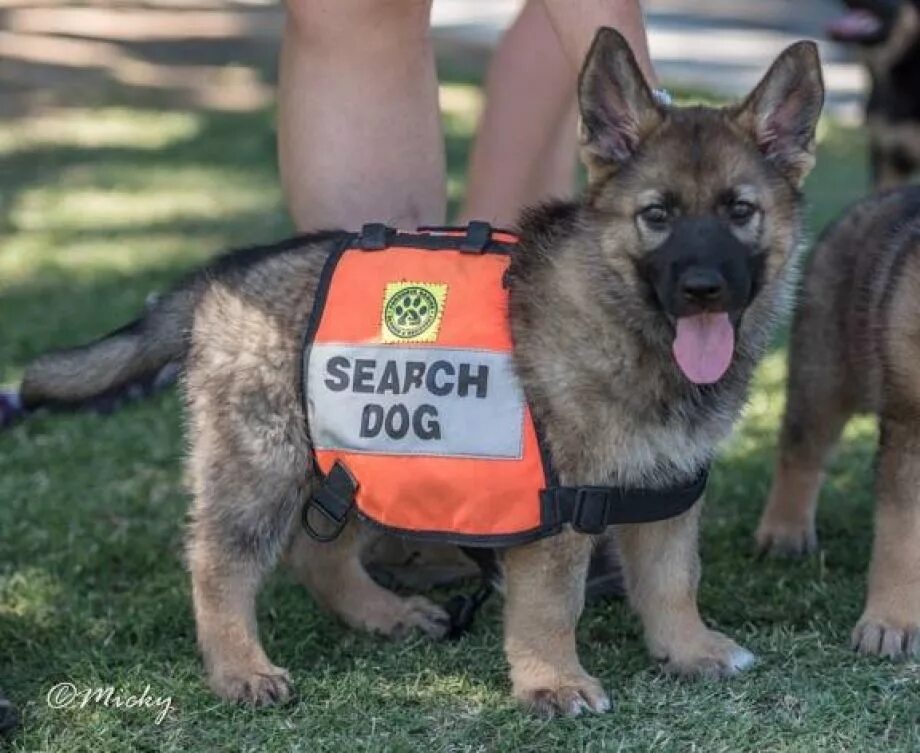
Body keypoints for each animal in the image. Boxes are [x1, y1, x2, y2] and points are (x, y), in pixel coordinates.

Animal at [10, 32, 824, 712]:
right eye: (658, 215)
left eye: (740, 211)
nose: (703, 289)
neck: (625, 318)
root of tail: (223, 275)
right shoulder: (561, 512)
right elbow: (552, 605)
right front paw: (554, 681)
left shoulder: (667, 493)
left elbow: (673, 582)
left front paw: (689, 650)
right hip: (262, 464)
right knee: (218, 562)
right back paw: (240, 666)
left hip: (356, 460)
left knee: (319, 553)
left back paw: (382, 614)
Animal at [756, 187, 920, 656]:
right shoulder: (909, 426)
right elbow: (902, 533)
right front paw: (891, 623)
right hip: (822, 366)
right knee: (801, 450)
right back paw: (785, 531)